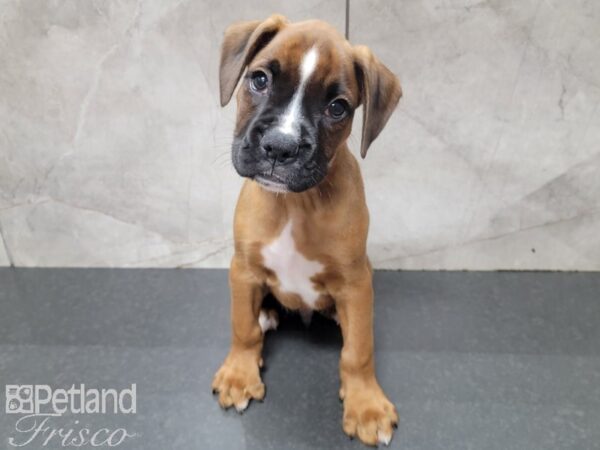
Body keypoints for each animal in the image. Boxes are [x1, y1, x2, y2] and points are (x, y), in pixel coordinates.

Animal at [212, 14, 404, 446]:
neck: (296, 205)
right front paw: (239, 374)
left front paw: (366, 405)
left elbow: (358, 351)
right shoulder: (243, 269)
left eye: (337, 108)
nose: (280, 147)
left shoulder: (356, 283)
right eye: (259, 79)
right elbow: (241, 327)